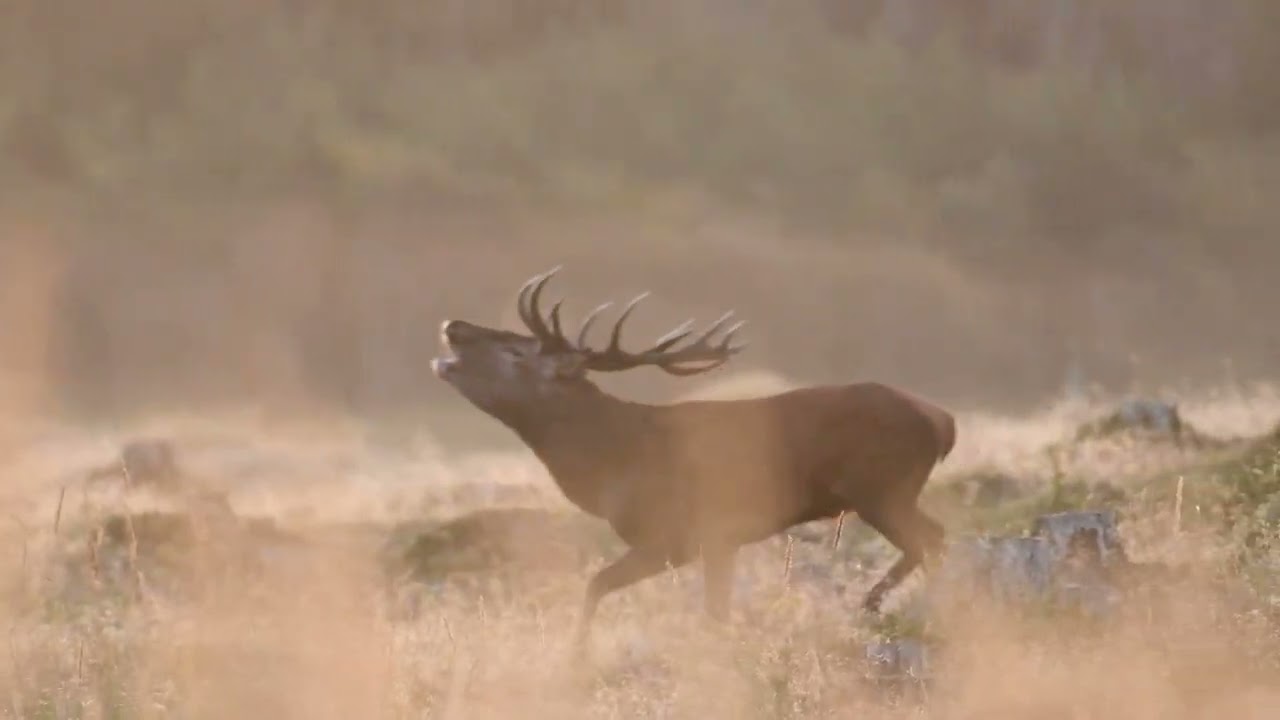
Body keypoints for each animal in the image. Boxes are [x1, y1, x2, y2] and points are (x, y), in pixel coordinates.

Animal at [431, 267, 956, 649]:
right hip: (890, 492)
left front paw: (575, 660)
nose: (453, 326)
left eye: (516, 351)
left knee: (931, 538)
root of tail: (942, 421)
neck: (613, 461)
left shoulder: (691, 531)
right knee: (934, 537)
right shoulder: (711, 541)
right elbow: (703, 609)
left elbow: (599, 585)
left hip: (882, 487)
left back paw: (886, 605)